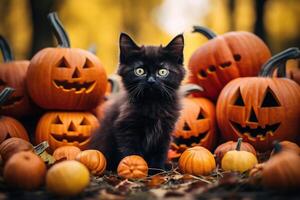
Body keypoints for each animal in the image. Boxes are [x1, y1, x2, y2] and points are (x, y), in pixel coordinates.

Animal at [89, 32, 185, 170]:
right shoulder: (126, 129)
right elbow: (131, 153)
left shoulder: (165, 132)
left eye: (162, 72)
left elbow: (160, 153)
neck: (153, 103)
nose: (151, 81)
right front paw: (135, 167)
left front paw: (157, 170)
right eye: (140, 71)